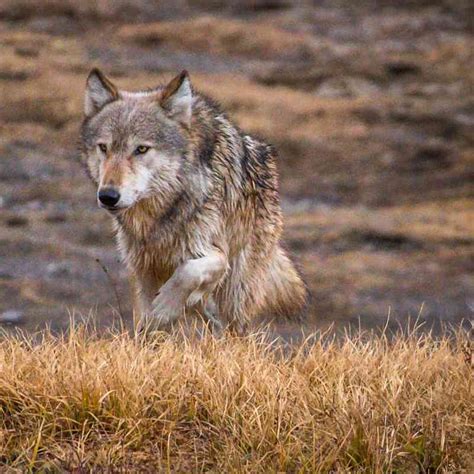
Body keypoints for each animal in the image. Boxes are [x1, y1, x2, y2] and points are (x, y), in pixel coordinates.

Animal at [79, 68, 308, 332]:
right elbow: (146, 320)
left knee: (233, 325)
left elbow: (188, 271)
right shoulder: (142, 266)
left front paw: (165, 307)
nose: (108, 196)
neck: (161, 212)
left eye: (141, 149)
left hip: (236, 291)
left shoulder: (215, 254)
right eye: (104, 148)